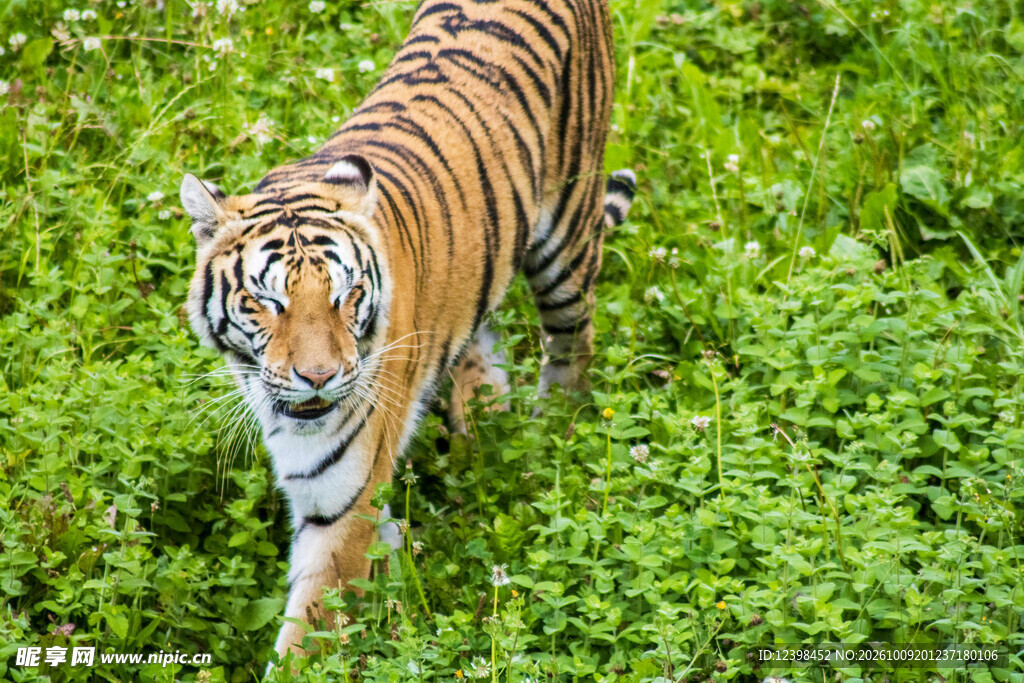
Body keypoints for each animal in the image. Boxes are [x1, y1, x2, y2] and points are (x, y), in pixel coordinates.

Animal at [179, 0, 636, 659]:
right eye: (267, 301)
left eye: (346, 296)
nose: (318, 377)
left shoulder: (343, 505)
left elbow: (309, 637)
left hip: (569, 232)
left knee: (573, 339)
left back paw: (551, 426)